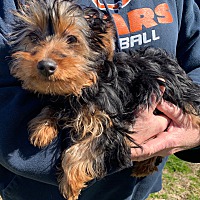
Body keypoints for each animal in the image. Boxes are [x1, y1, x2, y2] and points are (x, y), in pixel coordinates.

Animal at [8, 0, 200, 200]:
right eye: (33, 36)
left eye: (72, 39)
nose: (45, 65)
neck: (87, 82)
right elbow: (54, 106)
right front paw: (42, 128)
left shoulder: (113, 123)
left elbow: (79, 150)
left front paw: (70, 185)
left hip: (180, 95)